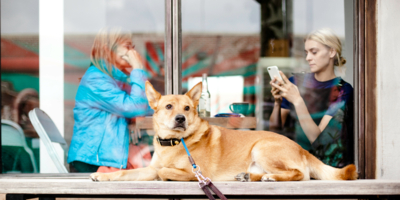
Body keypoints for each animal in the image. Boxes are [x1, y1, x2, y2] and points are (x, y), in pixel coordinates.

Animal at [89, 80, 358, 182]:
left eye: (187, 108)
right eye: (168, 106)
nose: (180, 118)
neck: (174, 143)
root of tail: (302, 149)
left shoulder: (195, 172)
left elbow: (165, 171)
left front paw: (166, 174)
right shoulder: (148, 168)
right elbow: (127, 173)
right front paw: (103, 176)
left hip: (262, 147)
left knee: (300, 174)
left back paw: (271, 177)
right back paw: (248, 177)